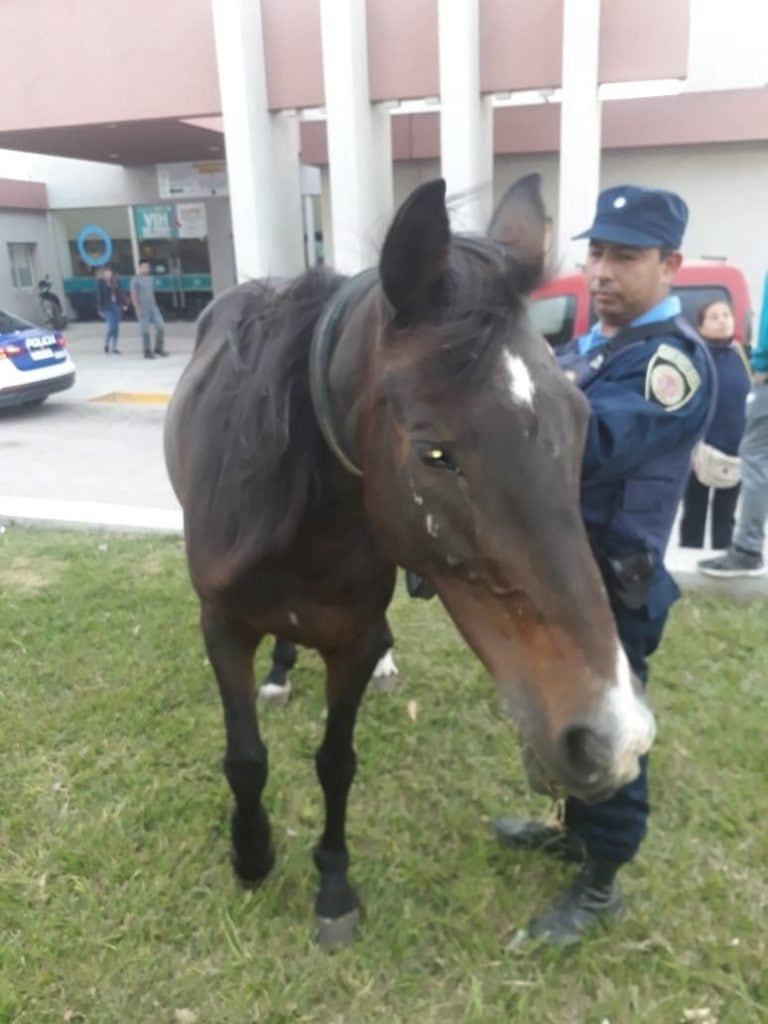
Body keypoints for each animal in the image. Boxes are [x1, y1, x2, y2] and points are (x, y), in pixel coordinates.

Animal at [163, 178, 655, 950]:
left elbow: (336, 763)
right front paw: (252, 854)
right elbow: (245, 758)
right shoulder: (221, 624)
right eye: (434, 452)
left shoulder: (355, 639)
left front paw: (333, 886)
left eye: (581, 422)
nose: (614, 736)